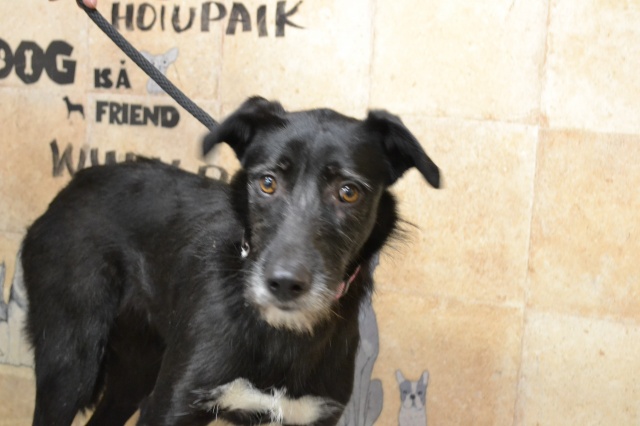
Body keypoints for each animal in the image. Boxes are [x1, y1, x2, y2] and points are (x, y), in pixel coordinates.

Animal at [22, 96, 440, 426]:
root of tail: (72, 186)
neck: (282, 334)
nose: (284, 283)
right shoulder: (170, 406)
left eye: (348, 192)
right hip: (71, 362)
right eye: (267, 182)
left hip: (137, 370)